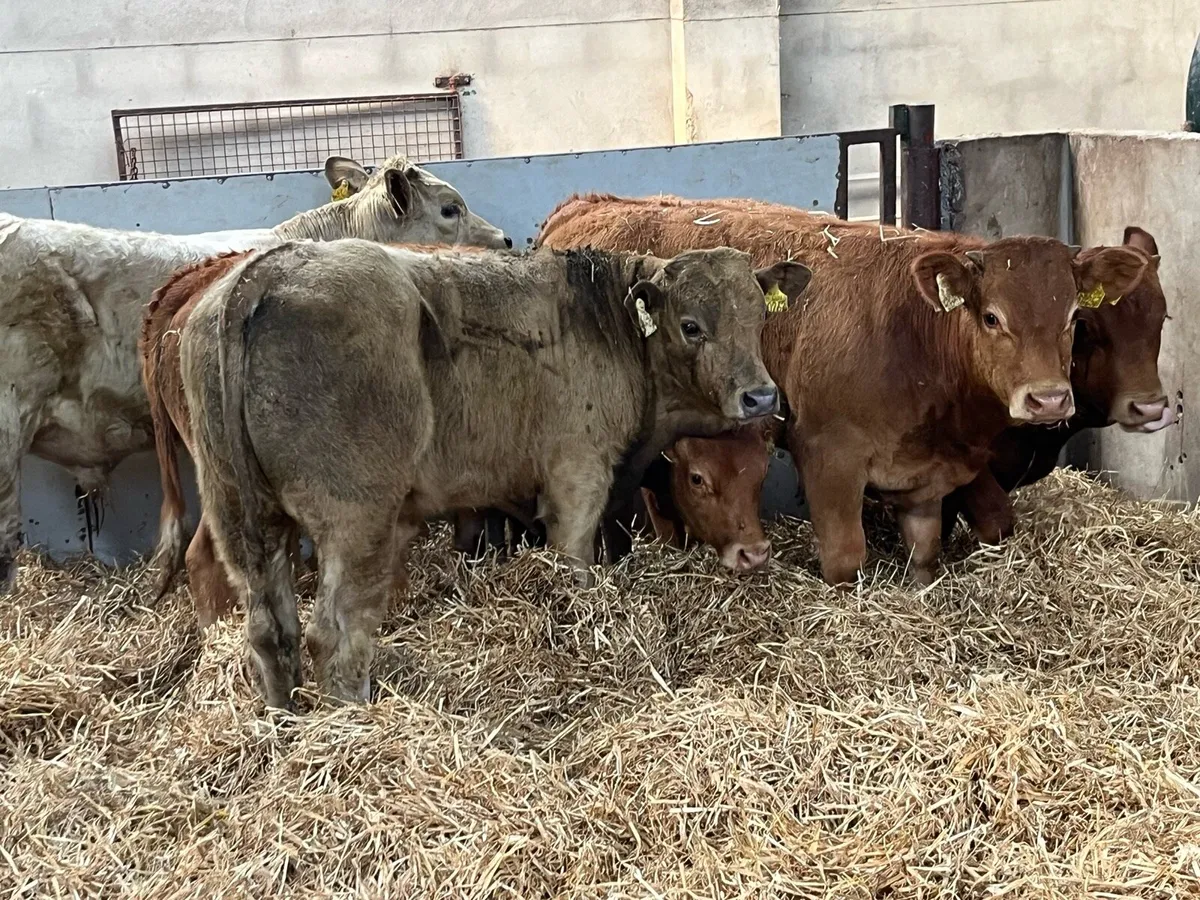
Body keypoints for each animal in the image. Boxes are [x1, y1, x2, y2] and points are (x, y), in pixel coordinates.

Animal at [178, 239, 808, 707]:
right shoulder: (578, 476)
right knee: (333, 637)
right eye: (691, 325)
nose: (760, 395)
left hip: (240, 518)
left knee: (270, 630)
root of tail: (267, 270)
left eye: (757, 315)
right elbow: (576, 567)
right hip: (356, 521)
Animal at [533, 194, 1149, 585]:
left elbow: (925, 555)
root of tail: (585, 205)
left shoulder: (925, 477)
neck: (912, 338)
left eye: (1073, 319)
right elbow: (845, 559)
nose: (1048, 399)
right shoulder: (829, 456)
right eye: (992, 317)